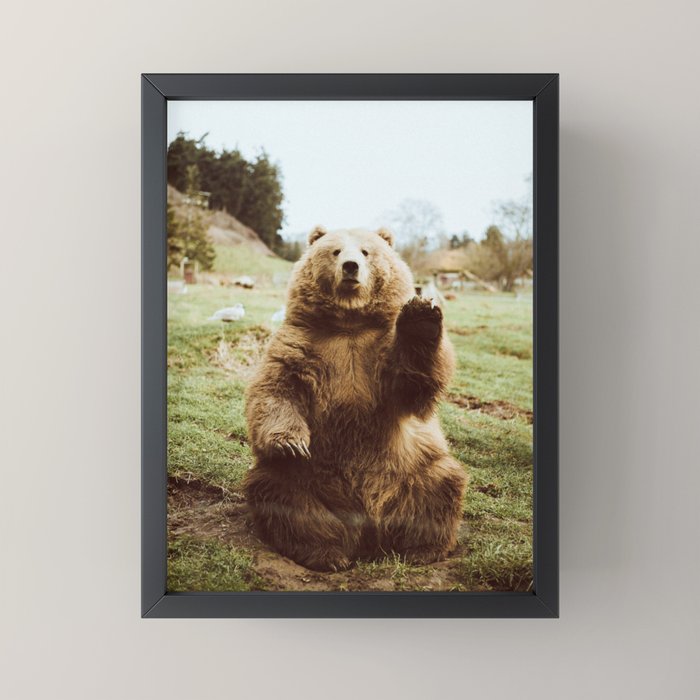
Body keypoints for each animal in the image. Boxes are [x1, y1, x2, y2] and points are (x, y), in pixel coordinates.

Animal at [242, 225, 467, 572]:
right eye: (335, 251)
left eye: (365, 251)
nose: (350, 267)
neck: (349, 323)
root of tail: (369, 529)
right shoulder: (300, 345)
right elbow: (276, 389)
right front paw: (290, 443)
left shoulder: (378, 354)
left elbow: (412, 384)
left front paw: (420, 315)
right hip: (308, 478)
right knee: (281, 494)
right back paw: (327, 553)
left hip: (412, 467)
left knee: (441, 484)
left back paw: (421, 549)